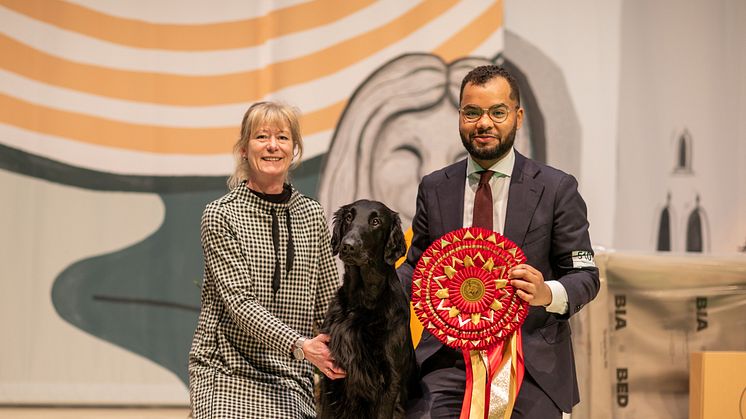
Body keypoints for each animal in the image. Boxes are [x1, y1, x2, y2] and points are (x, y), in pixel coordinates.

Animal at [316, 200, 416, 419]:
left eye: (376, 222)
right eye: (348, 217)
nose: (348, 245)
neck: (362, 302)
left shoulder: (390, 381)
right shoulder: (331, 375)